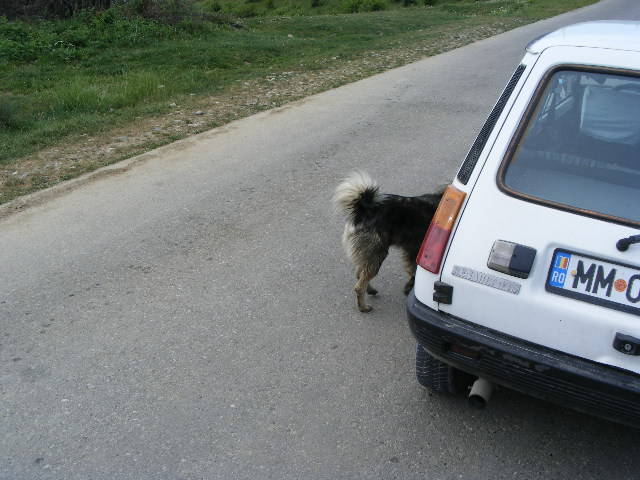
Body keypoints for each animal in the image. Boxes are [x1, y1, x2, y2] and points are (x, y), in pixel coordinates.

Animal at [332, 171, 442, 314]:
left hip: (369, 254)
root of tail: (363, 211)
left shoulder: (413, 250)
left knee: (359, 273)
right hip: (377, 254)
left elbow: (413, 269)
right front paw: (409, 287)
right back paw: (363, 307)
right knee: (359, 285)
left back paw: (370, 290)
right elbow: (414, 270)